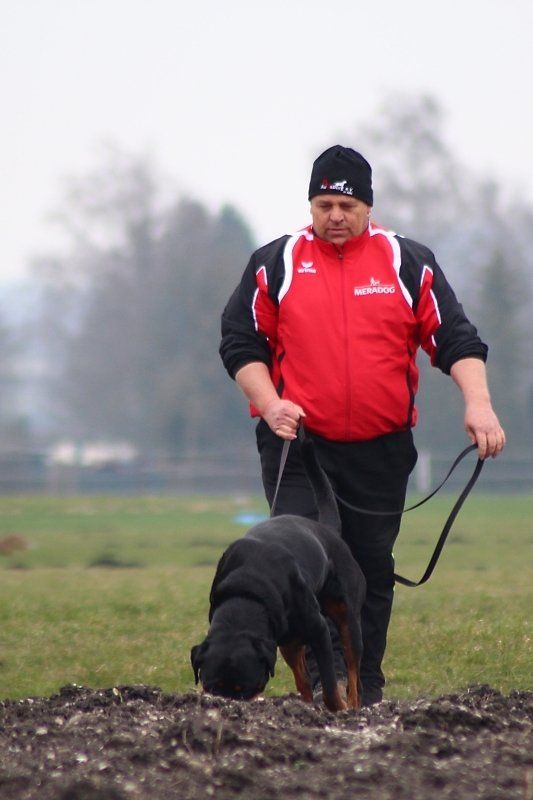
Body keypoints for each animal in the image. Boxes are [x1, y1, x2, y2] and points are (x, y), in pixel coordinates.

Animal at [190, 429, 366, 711]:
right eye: (212, 686)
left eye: (244, 689)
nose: (229, 707)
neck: (247, 592)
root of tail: (326, 531)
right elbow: (307, 680)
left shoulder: (319, 629)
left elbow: (329, 684)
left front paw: (335, 708)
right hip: (288, 641)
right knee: (302, 679)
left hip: (347, 615)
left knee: (353, 670)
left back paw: (352, 706)